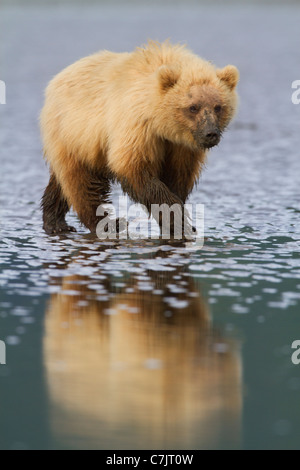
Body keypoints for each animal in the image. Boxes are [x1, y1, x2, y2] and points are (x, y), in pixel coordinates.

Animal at [39, 40, 238, 237]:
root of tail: (56, 79)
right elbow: (135, 168)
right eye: (193, 107)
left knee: (61, 183)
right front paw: (180, 220)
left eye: (218, 106)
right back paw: (108, 223)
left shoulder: (181, 147)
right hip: (72, 133)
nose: (210, 133)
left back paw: (55, 222)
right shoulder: (137, 127)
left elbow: (179, 175)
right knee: (81, 182)